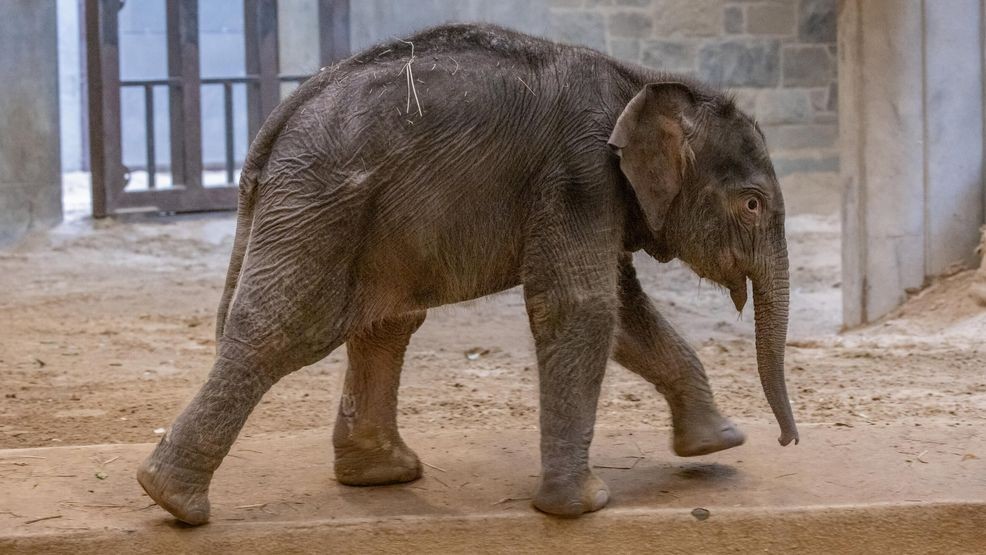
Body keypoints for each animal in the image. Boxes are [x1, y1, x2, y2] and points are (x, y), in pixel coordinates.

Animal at [137, 23, 798, 525]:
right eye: (752, 204)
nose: (787, 442)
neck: (640, 81)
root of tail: (276, 122)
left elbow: (624, 314)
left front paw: (717, 443)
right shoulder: (579, 173)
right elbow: (584, 307)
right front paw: (582, 508)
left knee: (386, 323)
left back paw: (382, 476)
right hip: (319, 201)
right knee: (286, 329)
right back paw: (173, 501)